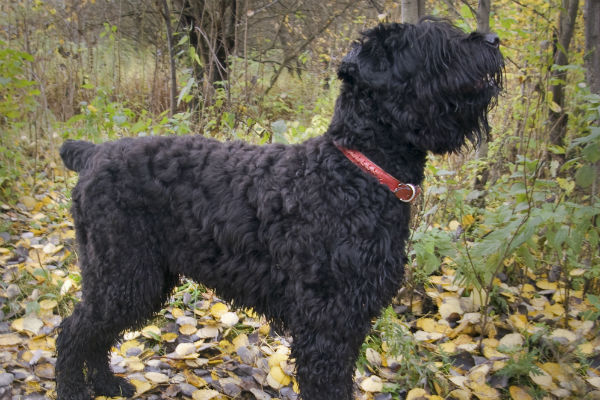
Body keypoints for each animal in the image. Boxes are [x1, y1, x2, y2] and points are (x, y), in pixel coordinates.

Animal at [56, 19, 502, 400]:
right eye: (434, 47)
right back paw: (75, 389)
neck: (354, 172)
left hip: (136, 278)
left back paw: (107, 384)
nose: (494, 40)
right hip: (124, 275)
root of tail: (92, 154)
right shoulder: (327, 326)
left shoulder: (351, 319)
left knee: (96, 335)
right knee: (73, 331)